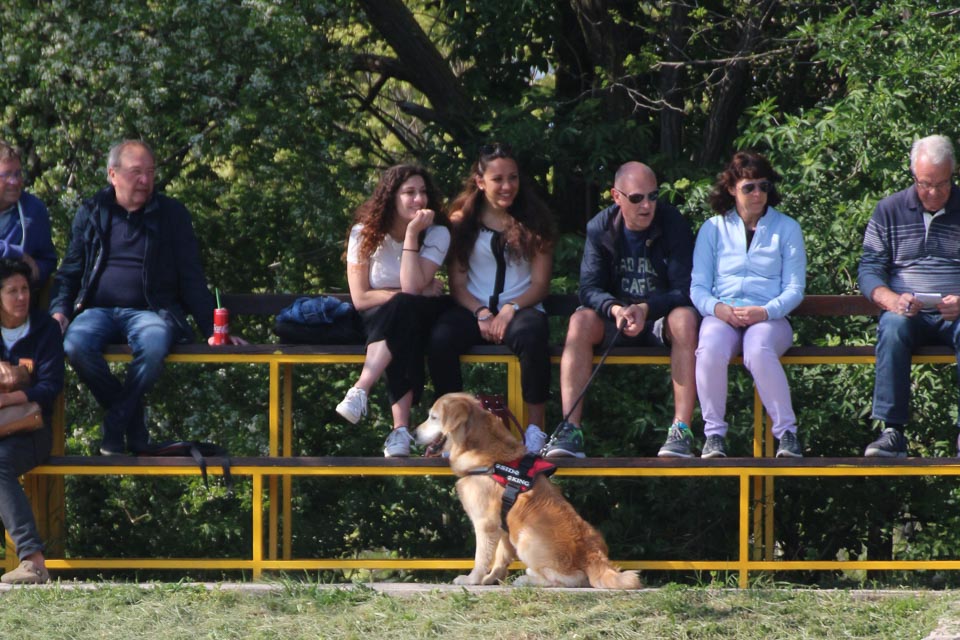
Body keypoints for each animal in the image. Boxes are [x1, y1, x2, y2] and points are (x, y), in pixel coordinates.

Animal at [414, 393, 640, 589]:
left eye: (433, 417)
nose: (414, 433)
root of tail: (593, 555)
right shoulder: (503, 526)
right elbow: (500, 558)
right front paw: (491, 579)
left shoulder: (485, 524)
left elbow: (482, 557)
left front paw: (473, 579)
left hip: (526, 537)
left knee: (571, 579)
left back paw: (527, 579)